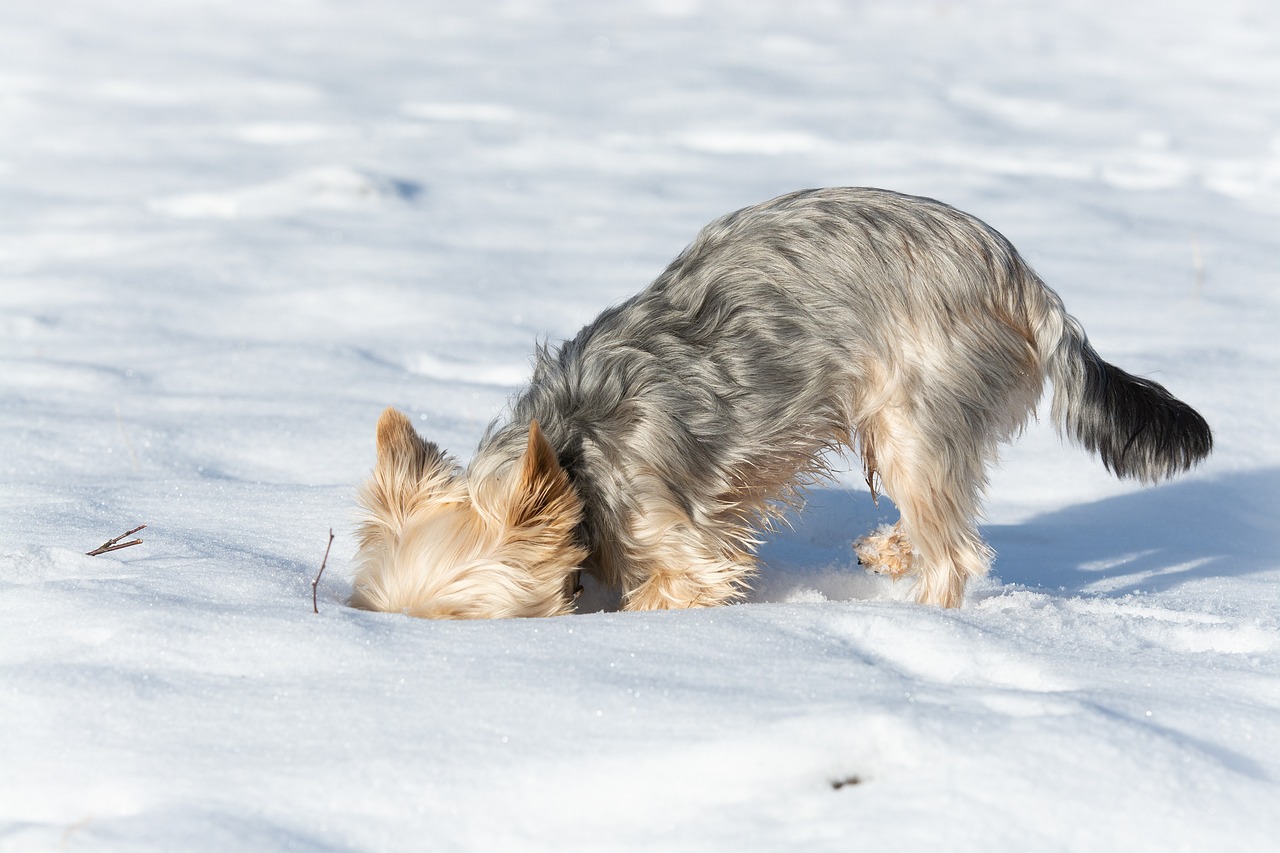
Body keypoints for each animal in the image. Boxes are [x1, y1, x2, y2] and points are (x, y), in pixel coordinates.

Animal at [348, 185, 1208, 614]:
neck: (572, 455)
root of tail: (1023, 278)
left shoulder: (679, 544)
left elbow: (675, 591)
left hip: (914, 411)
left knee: (955, 551)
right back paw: (887, 551)